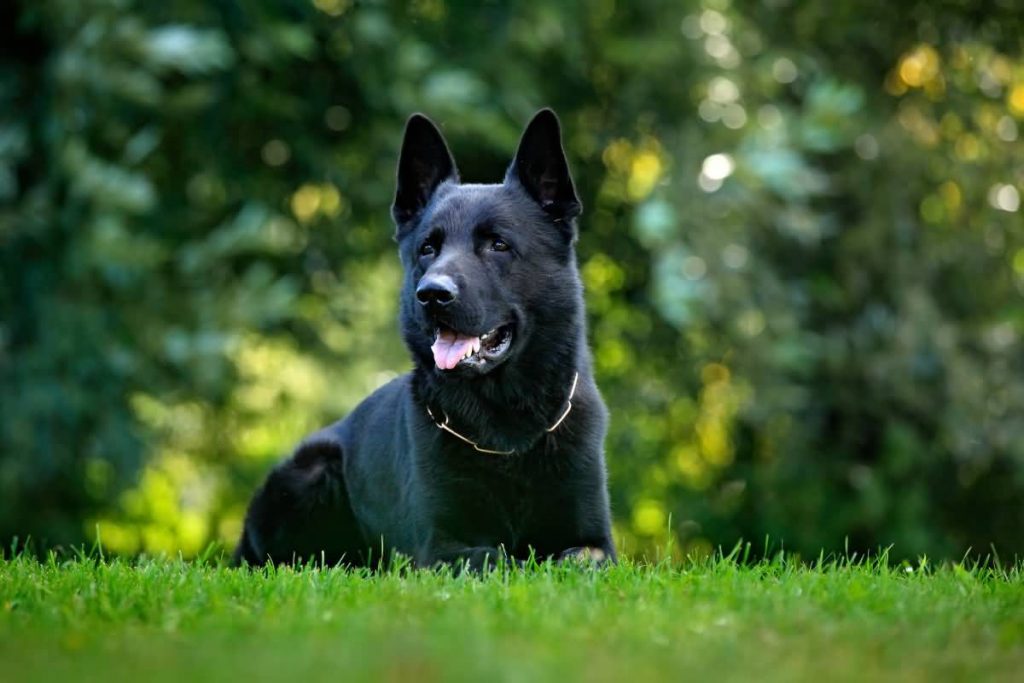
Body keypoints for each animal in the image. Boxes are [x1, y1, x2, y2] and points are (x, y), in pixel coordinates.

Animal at [234, 111, 614, 573]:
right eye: (428, 249)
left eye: (498, 244)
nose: (432, 294)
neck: (506, 431)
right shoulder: (439, 550)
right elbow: (500, 556)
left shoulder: (597, 544)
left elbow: (574, 558)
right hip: (313, 472)